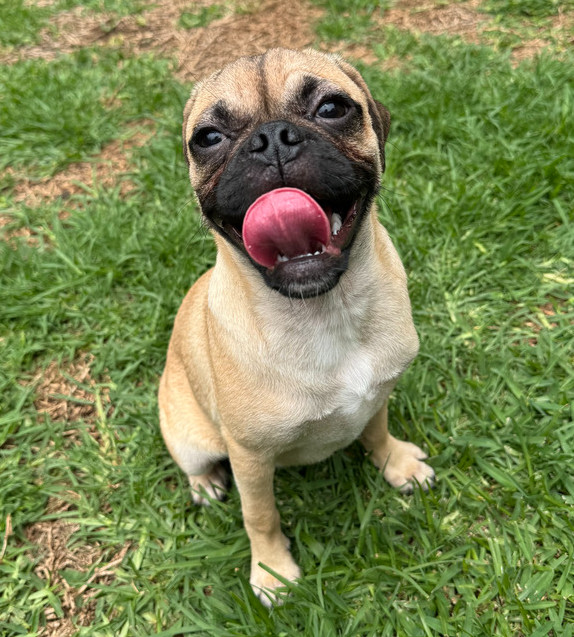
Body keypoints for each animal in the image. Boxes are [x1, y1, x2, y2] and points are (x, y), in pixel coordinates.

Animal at [159, 48, 436, 608]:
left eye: (332, 107)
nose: (272, 138)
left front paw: (395, 463)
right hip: (190, 435)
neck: (323, 309)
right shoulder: (250, 458)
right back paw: (205, 485)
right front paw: (272, 571)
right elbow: (260, 515)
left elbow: (377, 432)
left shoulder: (379, 394)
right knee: (196, 464)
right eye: (208, 138)